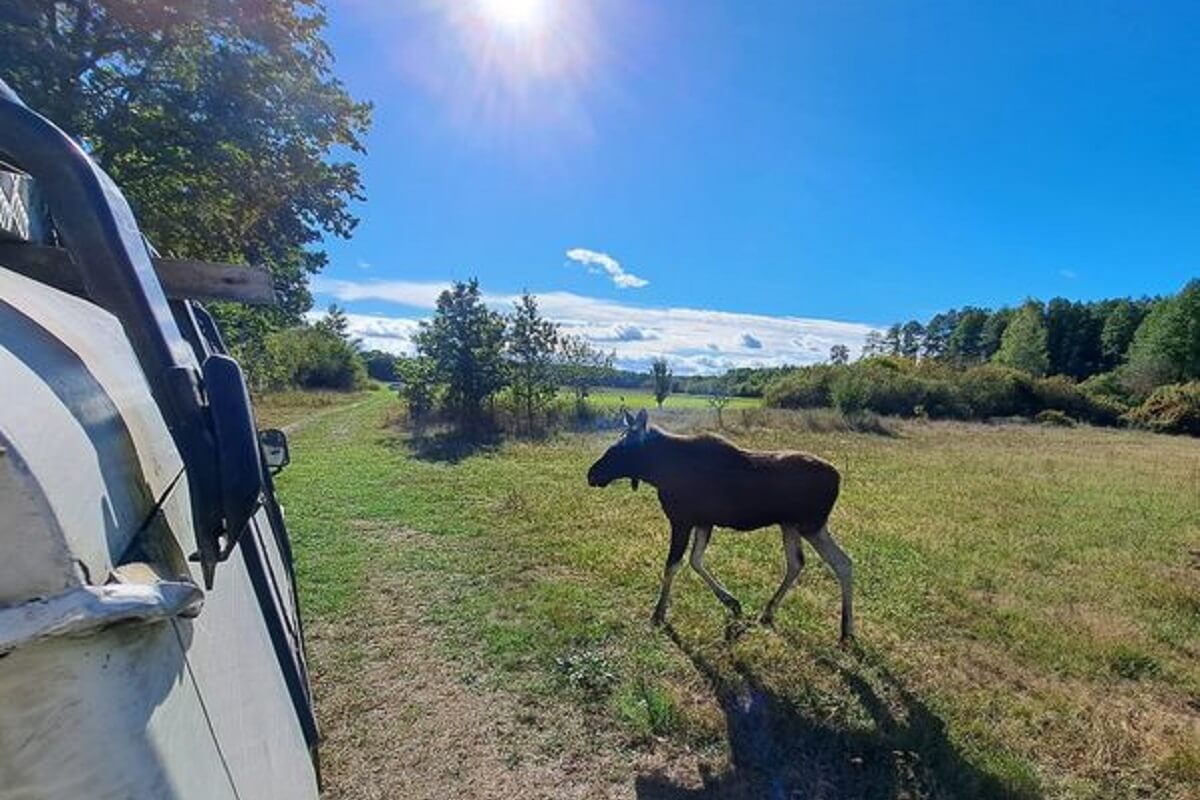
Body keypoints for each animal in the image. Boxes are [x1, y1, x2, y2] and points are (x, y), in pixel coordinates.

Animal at [588, 410, 854, 642]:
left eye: (622, 446)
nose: (591, 473)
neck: (659, 472)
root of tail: (838, 478)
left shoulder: (682, 520)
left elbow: (672, 565)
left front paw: (658, 613)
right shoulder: (703, 522)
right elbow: (695, 561)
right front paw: (732, 603)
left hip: (810, 525)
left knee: (839, 562)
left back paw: (846, 630)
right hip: (792, 525)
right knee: (803, 563)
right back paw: (774, 613)